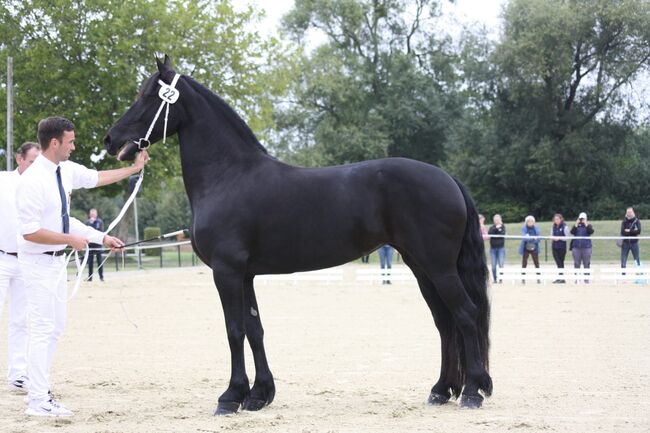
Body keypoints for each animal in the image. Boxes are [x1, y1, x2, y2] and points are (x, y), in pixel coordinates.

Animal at [104, 55, 488, 414]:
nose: (111, 140)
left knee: (466, 315)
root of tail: (448, 178)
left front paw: (230, 397)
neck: (228, 176)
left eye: (146, 96)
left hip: (438, 268)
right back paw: (442, 390)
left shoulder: (226, 272)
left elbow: (234, 331)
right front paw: (259, 395)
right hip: (421, 267)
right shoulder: (245, 275)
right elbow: (254, 329)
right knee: (445, 322)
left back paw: (472, 392)